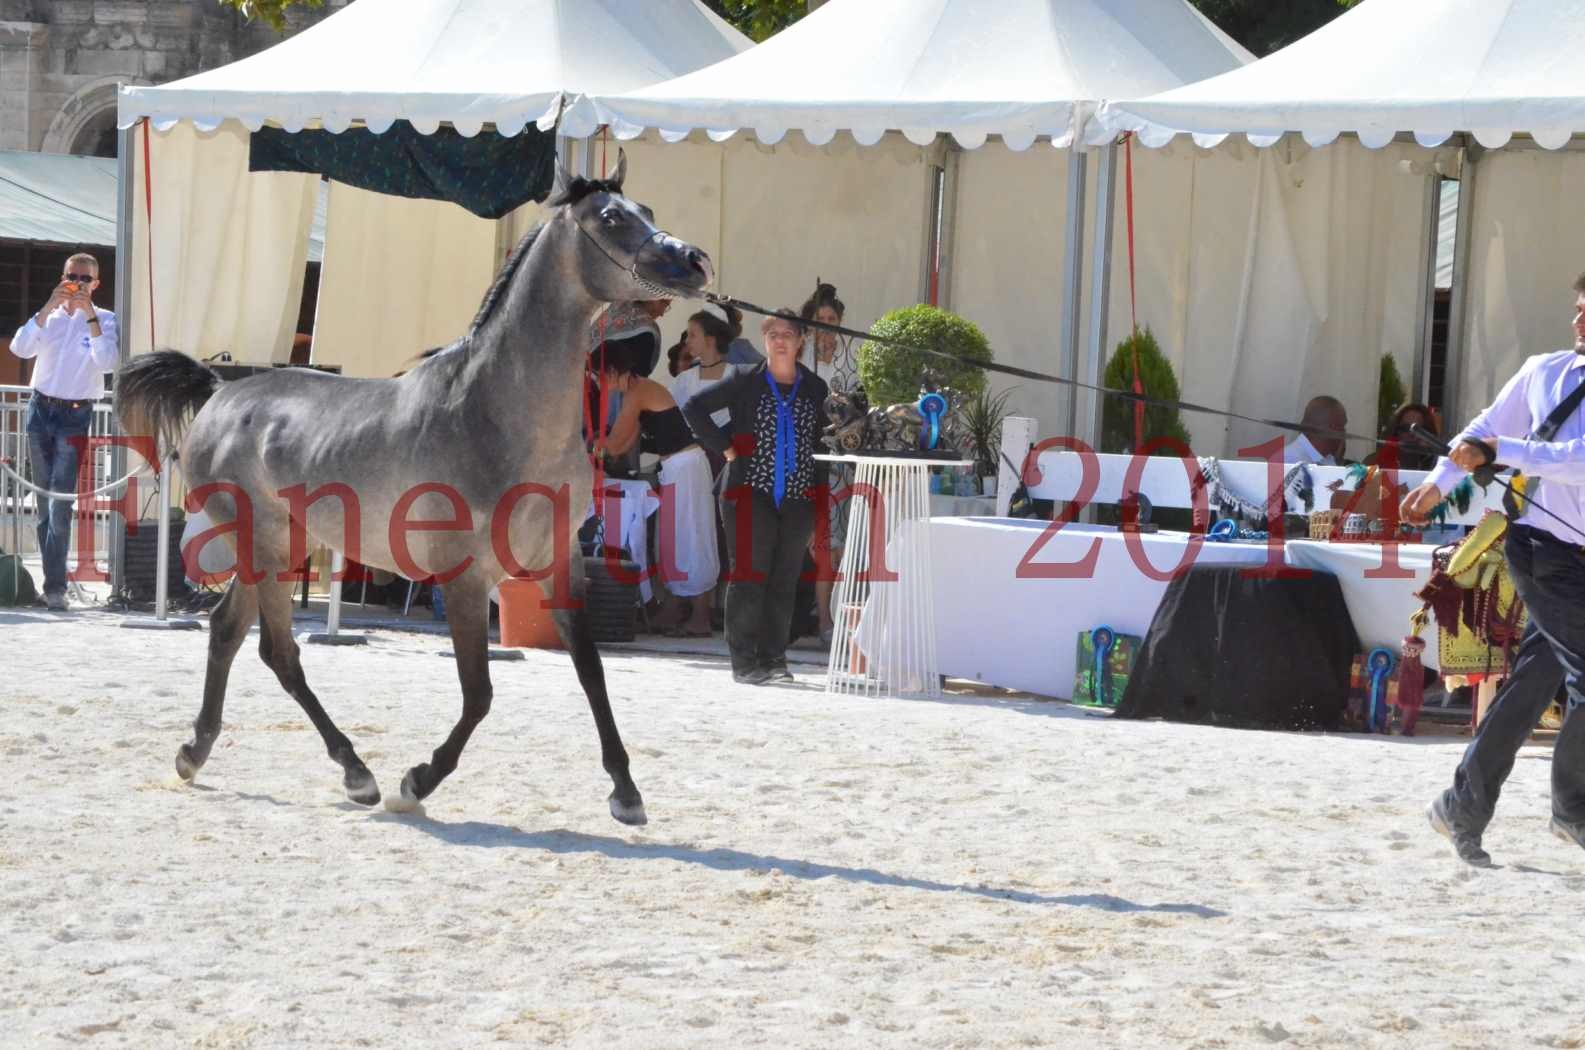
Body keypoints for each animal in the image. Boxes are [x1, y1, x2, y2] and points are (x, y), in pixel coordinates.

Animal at [120, 156, 716, 824]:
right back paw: (357, 775)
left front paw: (626, 791)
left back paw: (201, 754)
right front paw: (416, 782)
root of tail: (220, 391)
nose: (695, 262)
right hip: (263, 546)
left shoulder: (560, 562)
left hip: (281, 547)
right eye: (612, 217)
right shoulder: (464, 577)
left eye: (650, 211)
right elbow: (479, 693)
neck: (497, 413)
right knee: (277, 650)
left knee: (232, 634)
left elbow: (591, 670)